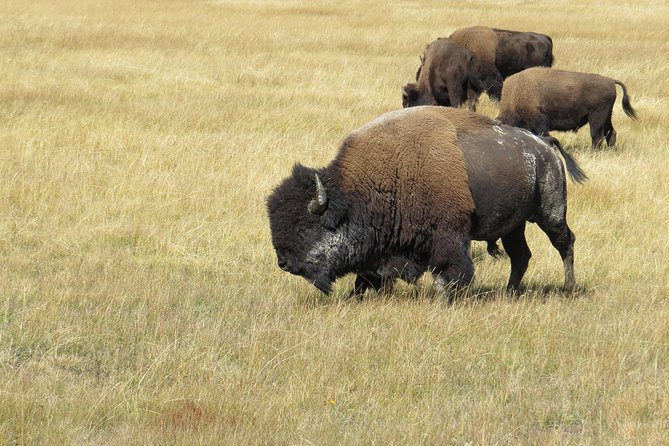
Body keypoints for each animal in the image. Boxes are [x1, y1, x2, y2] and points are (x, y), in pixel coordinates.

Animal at [267, 107, 586, 297]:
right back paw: (509, 292)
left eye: (306, 228)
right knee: (521, 256)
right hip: (513, 226)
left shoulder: (448, 236)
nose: (283, 262)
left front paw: (442, 297)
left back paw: (568, 288)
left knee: (565, 243)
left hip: (550, 212)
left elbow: (450, 271)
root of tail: (543, 144)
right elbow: (367, 276)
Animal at [497, 67, 637, 150]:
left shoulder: (540, 125)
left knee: (597, 136)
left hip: (597, 117)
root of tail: (610, 81)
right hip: (607, 116)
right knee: (610, 133)